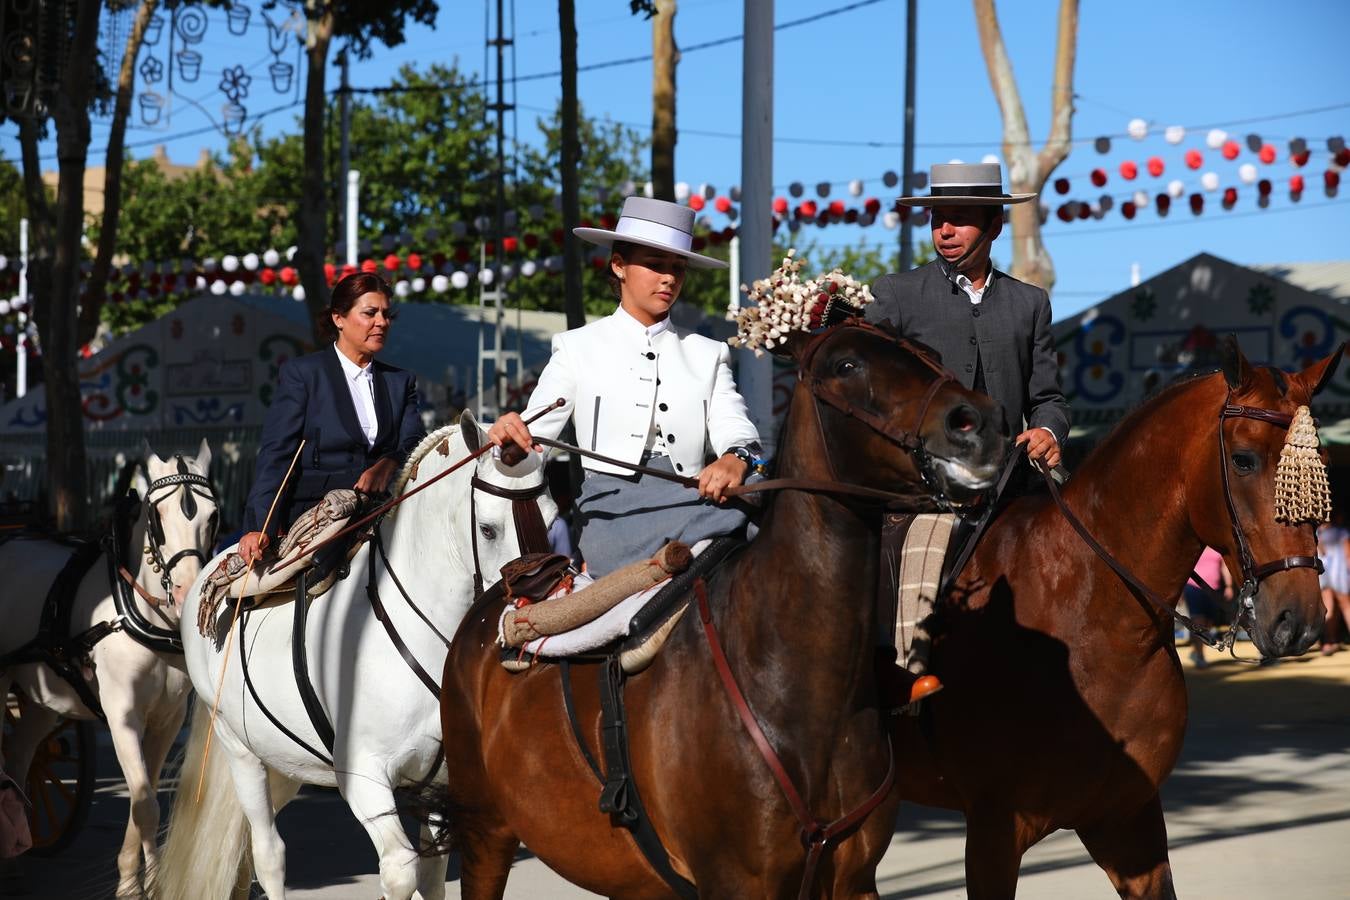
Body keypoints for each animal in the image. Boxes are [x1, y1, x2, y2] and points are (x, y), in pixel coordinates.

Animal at [0, 442, 218, 895]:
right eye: (157, 517)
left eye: (212, 516)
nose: (187, 593)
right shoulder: (122, 715)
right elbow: (144, 802)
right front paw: (137, 885)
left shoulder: (167, 719)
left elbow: (144, 796)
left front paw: (142, 877)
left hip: (48, 695)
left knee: (20, 753)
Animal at [159, 412, 558, 900]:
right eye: (488, 529)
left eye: (552, 518)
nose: (537, 612)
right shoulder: (363, 777)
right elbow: (401, 870)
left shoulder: (443, 782)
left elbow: (432, 876)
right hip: (242, 751)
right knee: (268, 852)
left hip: (288, 762)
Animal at [437, 319, 1009, 895]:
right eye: (846, 364)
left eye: (930, 354)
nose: (978, 422)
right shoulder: (737, 882)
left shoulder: (854, 881)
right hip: (486, 833)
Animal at [896, 340, 1339, 900]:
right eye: (1243, 460)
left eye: (1322, 466)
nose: (1299, 622)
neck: (1095, 622)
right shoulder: (994, 830)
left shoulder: (1128, 820)